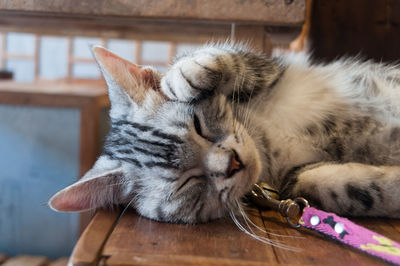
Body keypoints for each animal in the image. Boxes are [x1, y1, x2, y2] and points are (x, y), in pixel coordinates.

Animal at [48, 43, 400, 222]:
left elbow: (227, 57)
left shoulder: (269, 68)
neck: (264, 139)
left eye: (198, 125)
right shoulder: (296, 177)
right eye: (187, 182)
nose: (232, 163)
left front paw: (182, 76)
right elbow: (339, 187)